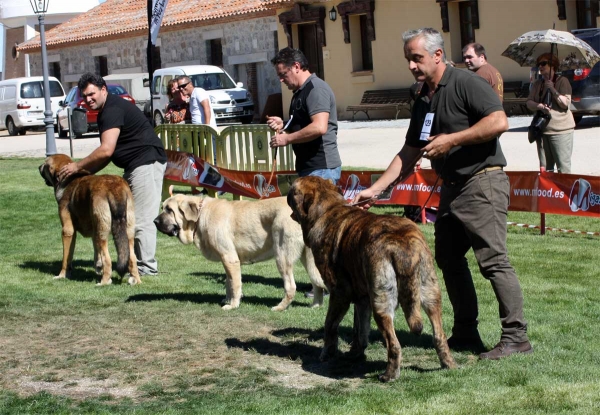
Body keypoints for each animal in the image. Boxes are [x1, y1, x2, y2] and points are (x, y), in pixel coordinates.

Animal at [39, 154, 141, 286]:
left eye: (45, 164)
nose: (38, 167)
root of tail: (114, 188)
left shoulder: (68, 231)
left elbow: (66, 258)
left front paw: (62, 275)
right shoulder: (93, 230)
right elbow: (94, 251)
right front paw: (97, 266)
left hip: (102, 231)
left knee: (107, 258)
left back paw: (104, 282)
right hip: (127, 231)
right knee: (132, 257)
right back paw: (136, 280)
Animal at [152, 196, 326, 312]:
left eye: (169, 210)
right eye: (163, 208)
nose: (155, 221)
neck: (200, 216)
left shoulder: (230, 259)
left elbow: (235, 284)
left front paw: (232, 305)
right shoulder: (227, 261)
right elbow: (229, 283)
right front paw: (228, 299)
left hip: (282, 257)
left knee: (291, 287)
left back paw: (280, 307)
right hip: (308, 259)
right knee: (317, 284)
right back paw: (315, 306)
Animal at [286, 176, 454, 384]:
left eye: (294, 190)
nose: (288, 182)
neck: (328, 209)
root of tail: (403, 244)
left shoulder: (339, 294)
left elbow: (330, 325)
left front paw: (327, 353)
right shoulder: (362, 298)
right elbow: (360, 329)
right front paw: (356, 353)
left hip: (381, 303)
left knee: (394, 344)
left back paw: (389, 374)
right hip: (430, 292)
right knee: (439, 334)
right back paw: (448, 363)